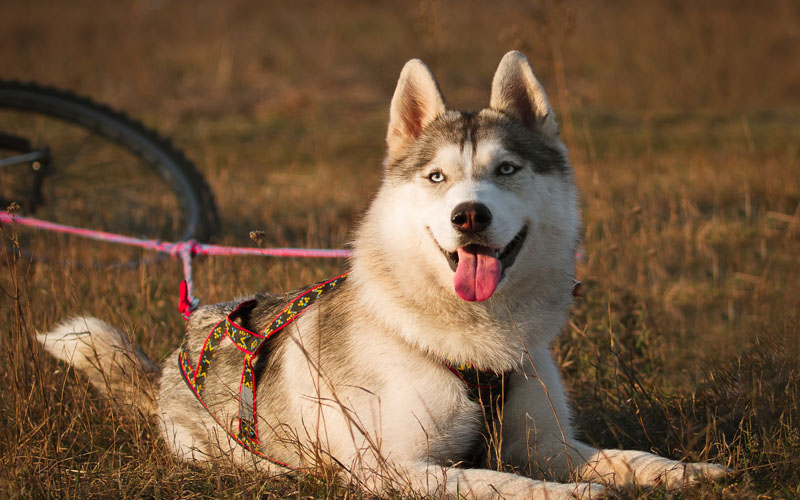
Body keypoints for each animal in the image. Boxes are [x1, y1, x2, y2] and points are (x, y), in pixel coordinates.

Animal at [40, 52, 728, 498]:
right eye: (437, 177)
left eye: (506, 169)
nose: (468, 215)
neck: (475, 339)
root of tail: (183, 341)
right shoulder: (397, 467)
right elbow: (500, 481)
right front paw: (570, 496)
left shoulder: (548, 445)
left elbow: (621, 456)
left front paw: (682, 472)